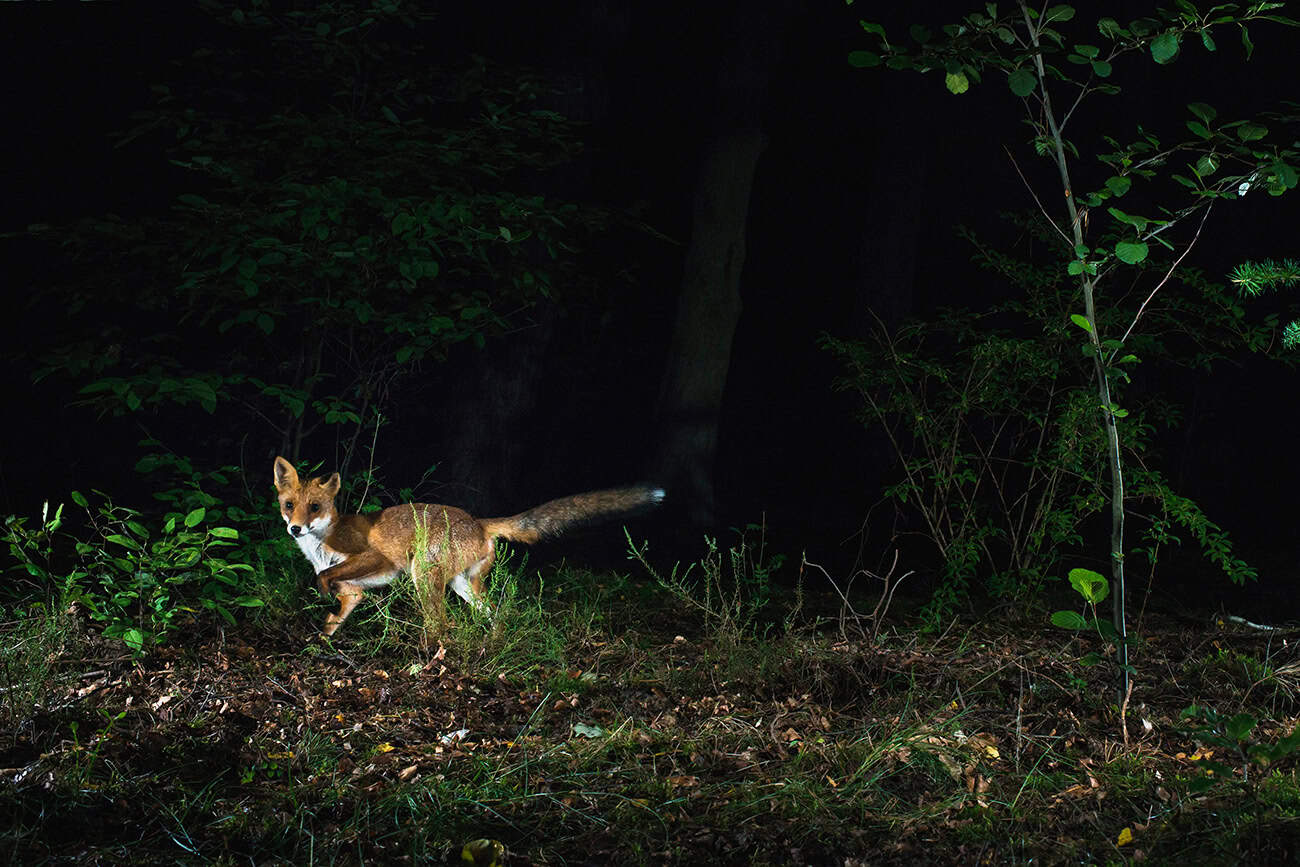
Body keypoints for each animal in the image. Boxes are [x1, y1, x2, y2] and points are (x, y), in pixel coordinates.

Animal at [273, 456, 664, 636]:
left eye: (315, 507)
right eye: (289, 505)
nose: (295, 528)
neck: (321, 546)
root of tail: (478, 521)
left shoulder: (374, 556)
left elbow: (325, 578)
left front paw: (322, 592)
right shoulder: (354, 593)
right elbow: (333, 618)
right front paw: (320, 643)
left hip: (423, 576)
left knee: (443, 625)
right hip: (464, 585)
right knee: (495, 614)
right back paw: (492, 646)